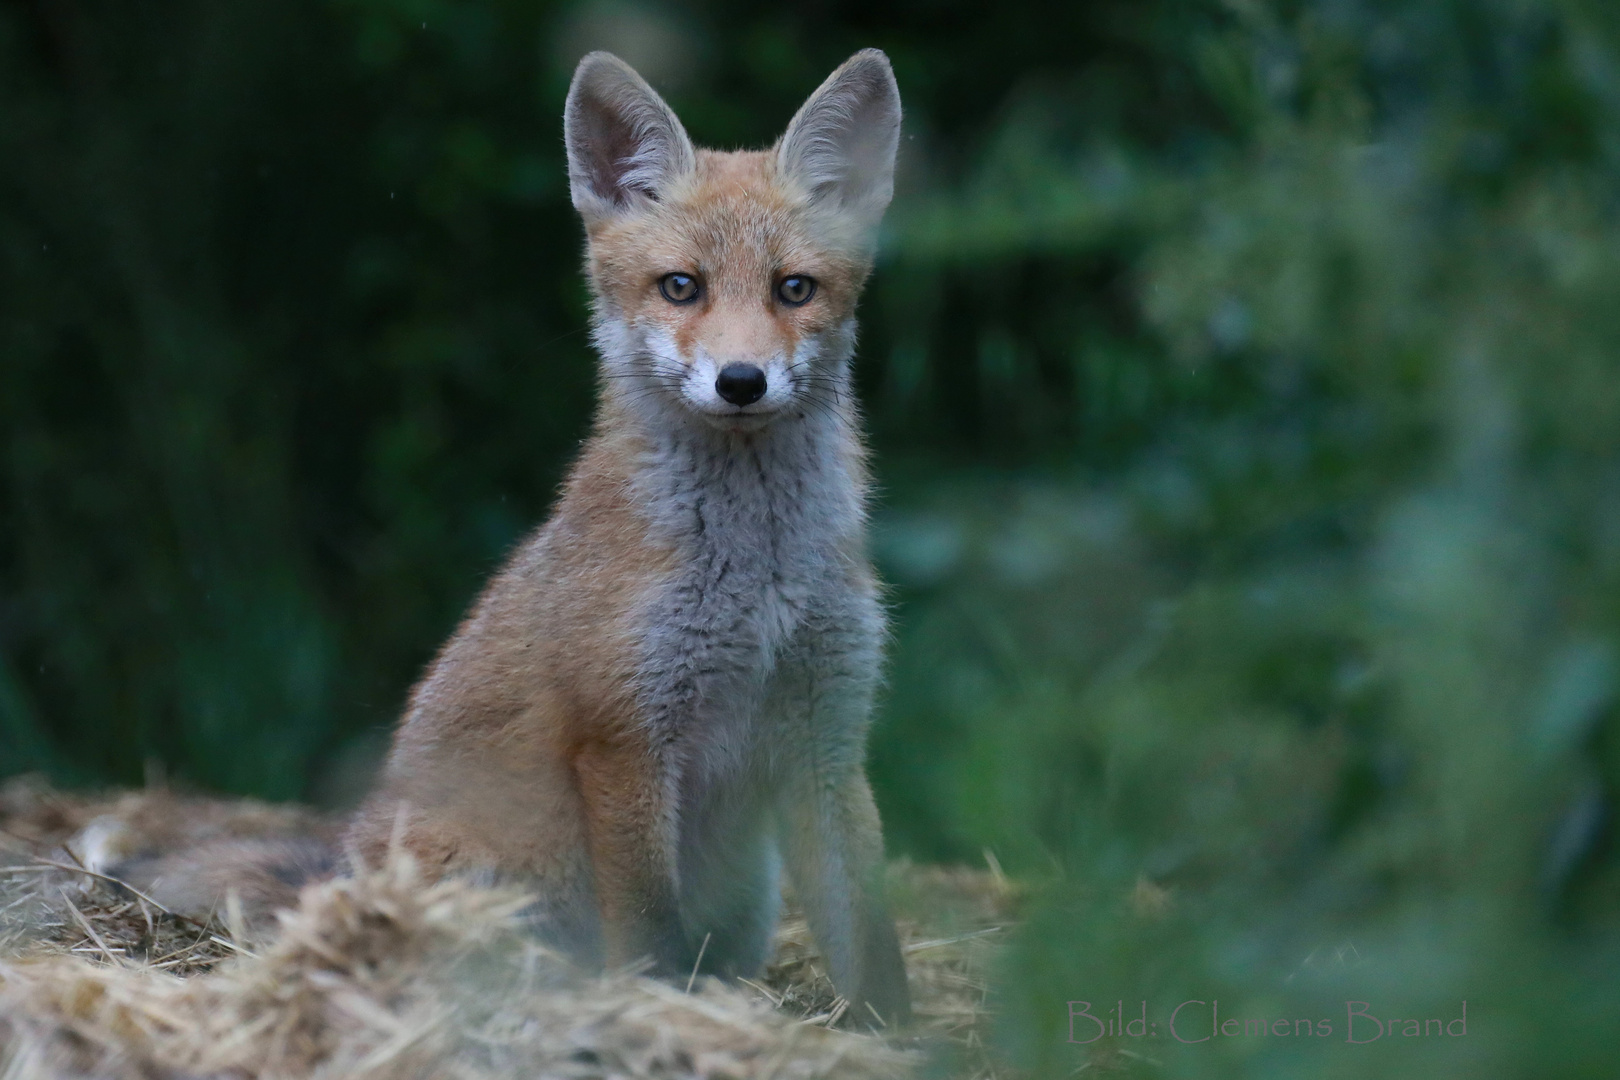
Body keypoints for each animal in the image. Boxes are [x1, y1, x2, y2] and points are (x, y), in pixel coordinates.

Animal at [341, 48, 913, 1023]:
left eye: (793, 289)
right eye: (682, 286)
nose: (741, 380)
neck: (755, 580)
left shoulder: (828, 736)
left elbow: (871, 938)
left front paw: (900, 1038)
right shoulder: (623, 737)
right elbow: (648, 930)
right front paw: (653, 1012)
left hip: (752, 894)